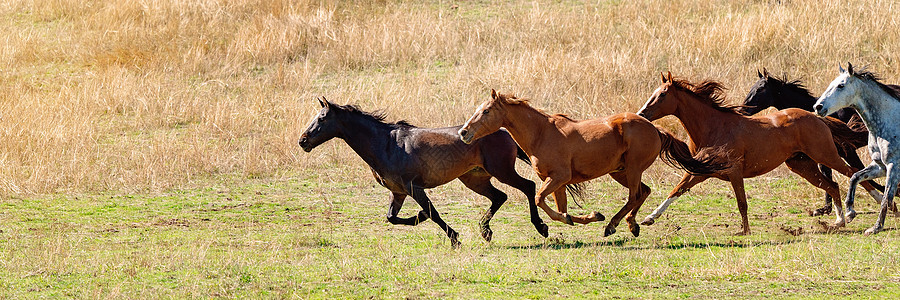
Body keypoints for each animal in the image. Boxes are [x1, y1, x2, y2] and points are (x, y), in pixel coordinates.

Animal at [298, 97, 568, 247]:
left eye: (322, 118)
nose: (303, 141)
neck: (386, 143)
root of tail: (503, 131)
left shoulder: (413, 187)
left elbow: (434, 213)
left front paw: (454, 238)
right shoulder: (398, 192)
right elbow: (392, 217)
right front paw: (420, 217)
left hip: (501, 171)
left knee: (528, 187)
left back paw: (541, 227)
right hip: (474, 179)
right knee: (500, 197)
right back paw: (486, 231)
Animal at [458, 89, 724, 237]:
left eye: (486, 111)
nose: (463, 132)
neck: (541, 133)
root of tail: (655, 128)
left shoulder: (559, 177)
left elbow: (540, 199)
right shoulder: (557, 182)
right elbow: (561, 210)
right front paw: (591, 216)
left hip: (633, 168)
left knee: (635, 196)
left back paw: (614, 226)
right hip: (620, 171)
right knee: (644, 192)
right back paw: (631, 225)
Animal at [632, 72, 880, 234]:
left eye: (662, 94)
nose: (641, 113)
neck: (713, 126)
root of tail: (817, 116)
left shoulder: (733, 171)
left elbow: (742, 202)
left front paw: (745, 231)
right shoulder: (701, 170)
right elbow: (676, 190)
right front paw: (649, 218)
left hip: (825, 155)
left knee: (852, 172)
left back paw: (870, 206)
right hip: (802, 165)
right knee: (832, 185)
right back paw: (838, 221)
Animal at [740, 68, 892, 216]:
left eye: (760, 89)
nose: (743, 109)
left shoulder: (846, 151)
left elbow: (858, 172)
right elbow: (831, 175)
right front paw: (825, 209)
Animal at [812, 63, 900, 236]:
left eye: (841, 86)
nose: (818, 107)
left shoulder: (893, 167)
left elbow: (886, 198)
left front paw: (876, 228)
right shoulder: (880, 166)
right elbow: (855, 177)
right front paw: (850, 212)